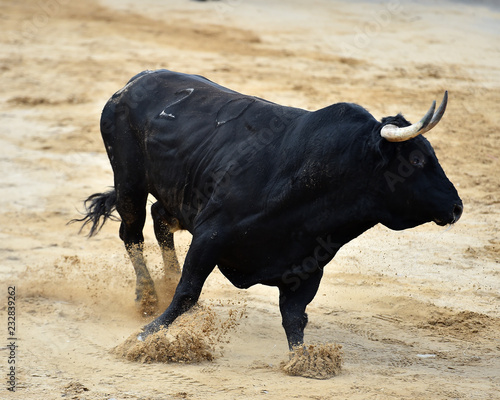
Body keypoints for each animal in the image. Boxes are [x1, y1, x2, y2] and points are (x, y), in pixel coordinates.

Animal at [73, 69, 460, 350]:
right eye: (416, 159)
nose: (456, 207)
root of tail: (132, 83)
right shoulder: (210, 236)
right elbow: (187, 292)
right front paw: (145, 335)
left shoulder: (307, 263)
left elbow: (295, 316)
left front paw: (305, 359)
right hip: (129, 181)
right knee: (132, 232)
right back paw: (149, 297)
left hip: (177, 195)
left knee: (159, 221)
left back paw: (162, 285)